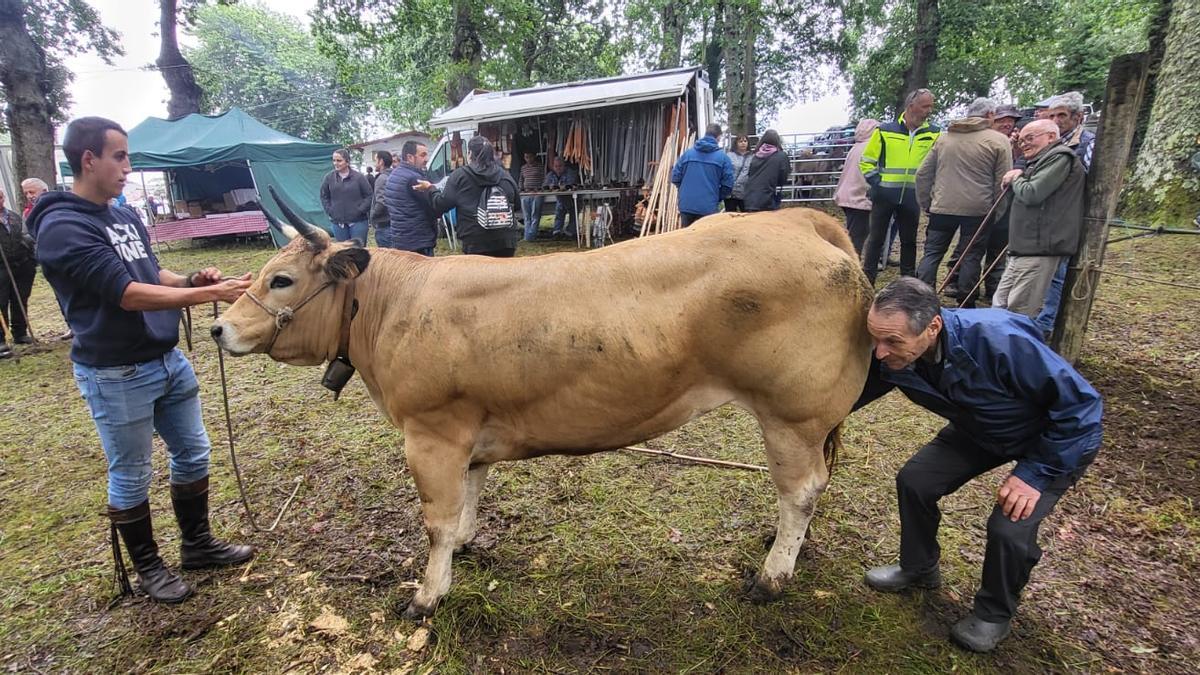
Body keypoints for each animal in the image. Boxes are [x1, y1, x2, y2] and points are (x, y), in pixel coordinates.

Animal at [213, 193, 873, 614]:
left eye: (281, 280)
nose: (219, 328)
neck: (394, 305)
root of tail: (800, 220)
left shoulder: (429, 432)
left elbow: (435, 520)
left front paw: (427, 595)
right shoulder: (467, 433)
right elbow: (468, 499)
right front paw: (465, 547)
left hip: (791, 413)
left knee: (801, 490)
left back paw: (771, 577)